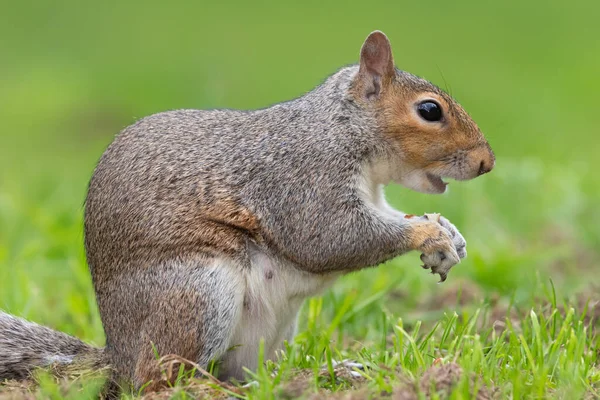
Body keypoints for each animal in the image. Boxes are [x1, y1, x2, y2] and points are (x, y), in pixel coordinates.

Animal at [0, 30, 492, 394]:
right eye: (429, 110)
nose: (487, 162)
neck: (340, 130)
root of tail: (116, 358)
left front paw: (447, 231)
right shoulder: (301, 182)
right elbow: (331, 239)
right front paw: (429, 235)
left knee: (250, 377)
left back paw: (326, 374)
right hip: (198, 292)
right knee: (159, 380)